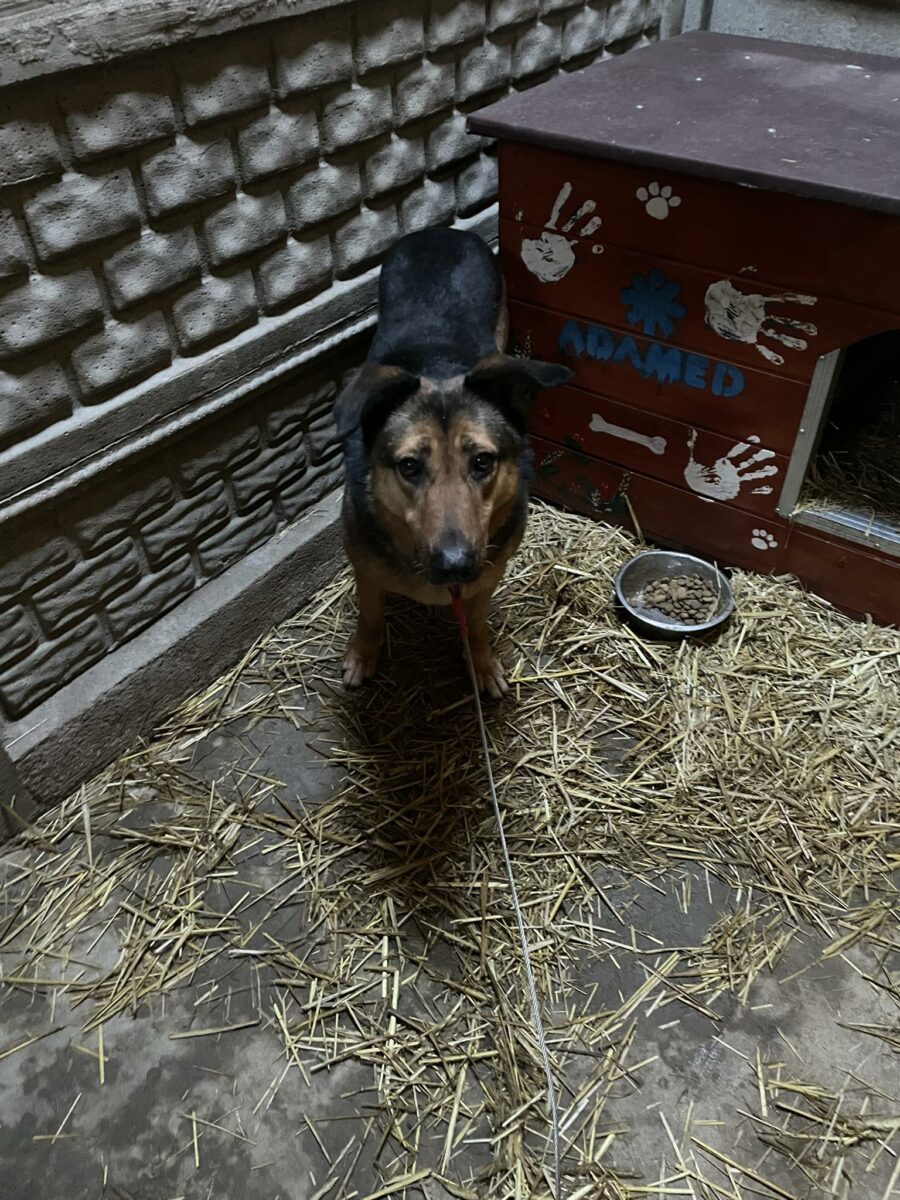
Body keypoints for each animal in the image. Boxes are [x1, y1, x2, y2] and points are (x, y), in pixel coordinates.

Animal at [333, 227, 572, 697]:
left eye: (482, 461)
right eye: (409, 467)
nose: (454, 565)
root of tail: (440, 231)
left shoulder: (486, 580)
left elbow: (476, 627)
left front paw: (480, 663)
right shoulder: (366, 572)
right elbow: (370, 616)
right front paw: (362, 653)